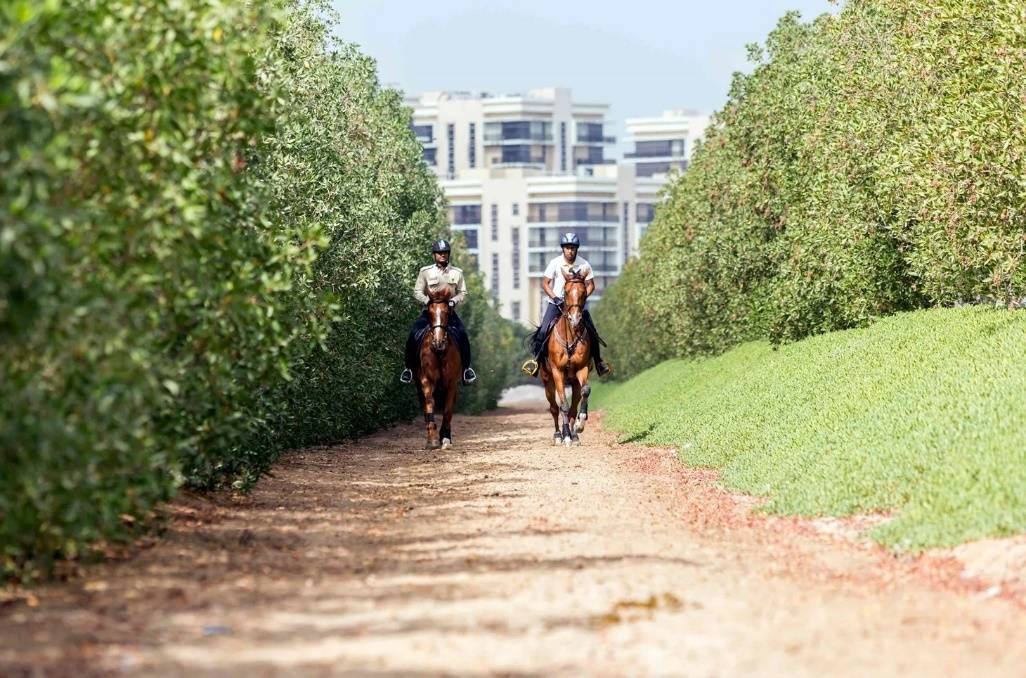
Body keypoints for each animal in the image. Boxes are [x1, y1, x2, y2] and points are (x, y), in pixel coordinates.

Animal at [418, 289, 463, 447]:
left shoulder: (452, 384)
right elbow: (429, 404)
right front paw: (432, 439)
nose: (438, 343)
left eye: (447, 313)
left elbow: (448, 410)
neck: (439, 353)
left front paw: (445, 438)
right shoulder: (426, 380)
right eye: (430, 314)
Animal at [537, 266, 595, 447]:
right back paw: (559, 435)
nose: (575, 318)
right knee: (554, 408)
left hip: (573, 381)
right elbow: (562, 404)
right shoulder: (557, 372)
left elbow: (585, 391)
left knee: (573, 406)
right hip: (547, 381)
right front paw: (566, 436)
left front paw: (579, 425)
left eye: (584, 292)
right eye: (567, 291)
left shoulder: (582, 369)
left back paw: (574, 434)